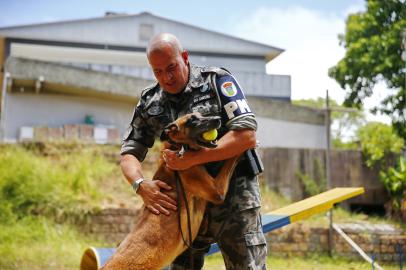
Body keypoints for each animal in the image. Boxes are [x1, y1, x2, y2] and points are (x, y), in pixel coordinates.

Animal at [102, 112, 241, 270]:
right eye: (192, 120)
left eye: (200, 115)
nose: (218, 119)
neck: (178, 147)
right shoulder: (217, 190)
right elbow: (231, 160)